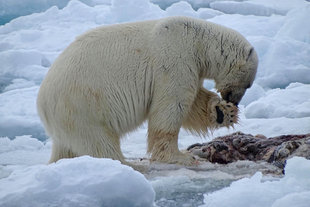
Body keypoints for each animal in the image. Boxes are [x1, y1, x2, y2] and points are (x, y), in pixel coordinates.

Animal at [37, 16, 258, 166]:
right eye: (248, 85)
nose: (234, 101)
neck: (198, 41)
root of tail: (42, 106)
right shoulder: (176, 60)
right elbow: (172, 105)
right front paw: (180, 157)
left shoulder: (192, 66)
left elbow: (194, 100)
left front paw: (223, 112)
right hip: (82, 106)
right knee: (99, 142)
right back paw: (127, 164)